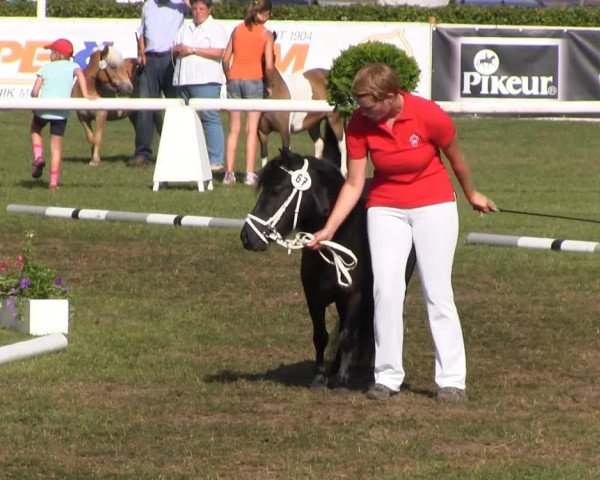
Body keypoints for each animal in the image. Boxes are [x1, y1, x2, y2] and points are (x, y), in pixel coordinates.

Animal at [241, 150, 414, 390]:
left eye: (275, 190)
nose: (247, 237)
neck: (337, 237)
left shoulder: (354, 296)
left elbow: (348, 337)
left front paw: (342, 381)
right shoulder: (314, 297)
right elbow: (321, 336)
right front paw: (320, 377)